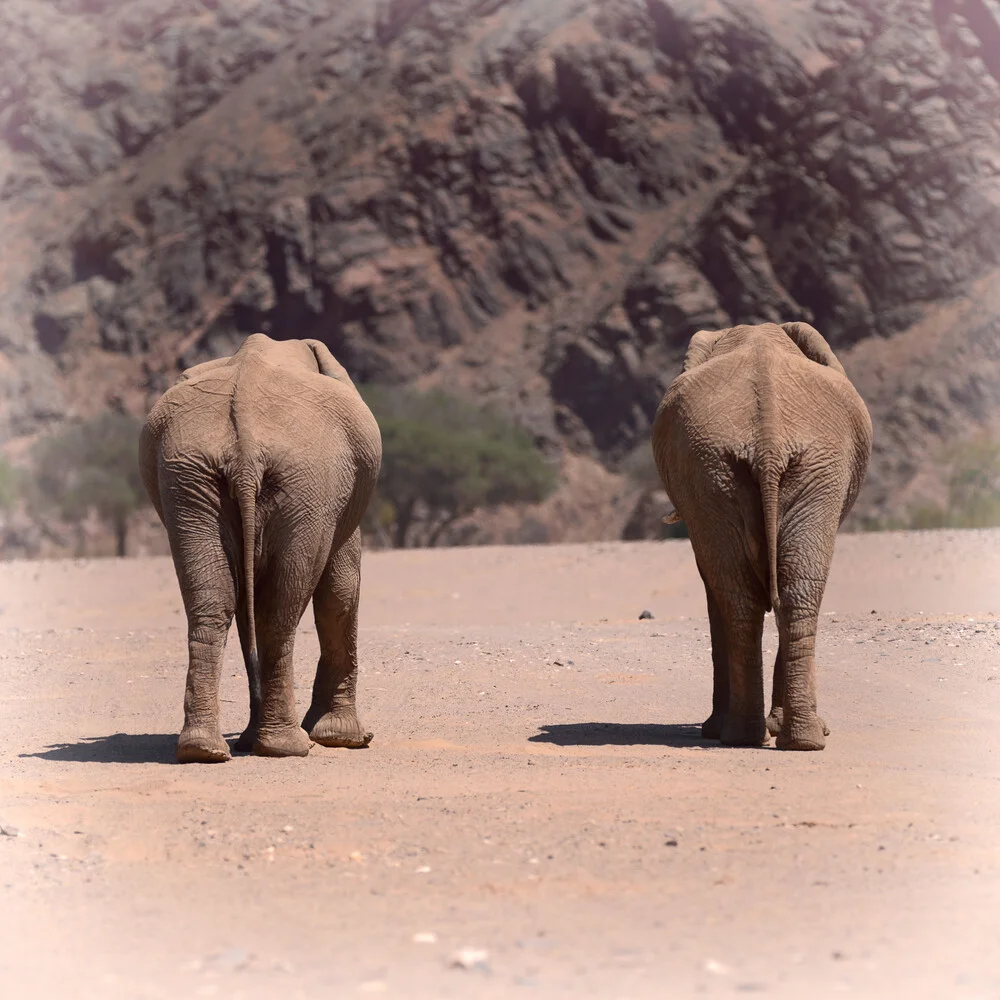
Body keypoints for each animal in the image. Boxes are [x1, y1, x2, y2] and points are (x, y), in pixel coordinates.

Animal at [137, 332, 378, 760]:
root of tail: (245, 446)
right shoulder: (338, 499)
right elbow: (342, 589)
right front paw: (347, 739)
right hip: (307, 482)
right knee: (279, 611)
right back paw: (287, 747)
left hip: (189, 479)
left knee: (214, 603)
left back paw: (205, 750)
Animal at [652, 322, 872, 752]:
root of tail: (768, 442)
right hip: (724, 474)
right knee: (775, 597)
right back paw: (764, 736)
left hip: (788, 473)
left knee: (777, 596)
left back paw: (778, 738)